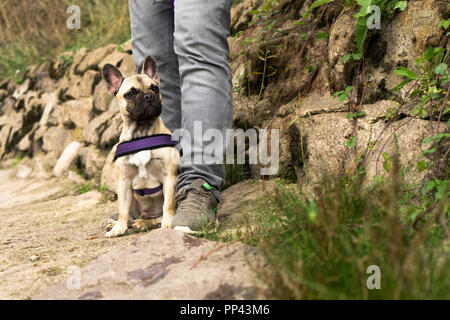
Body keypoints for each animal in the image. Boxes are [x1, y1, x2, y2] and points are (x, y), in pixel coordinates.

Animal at [102, 55, 179, 238]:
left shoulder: (169, 177)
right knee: (130, 213)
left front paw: (167, 225)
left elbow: (168, 206)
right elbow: (123, 209)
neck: (141, 133)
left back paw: (145, 223)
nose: (149, 96)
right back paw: (121, 223)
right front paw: (119, 228)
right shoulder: (124, 182)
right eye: (130, 93)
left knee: (157, 216)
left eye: (155, 88)